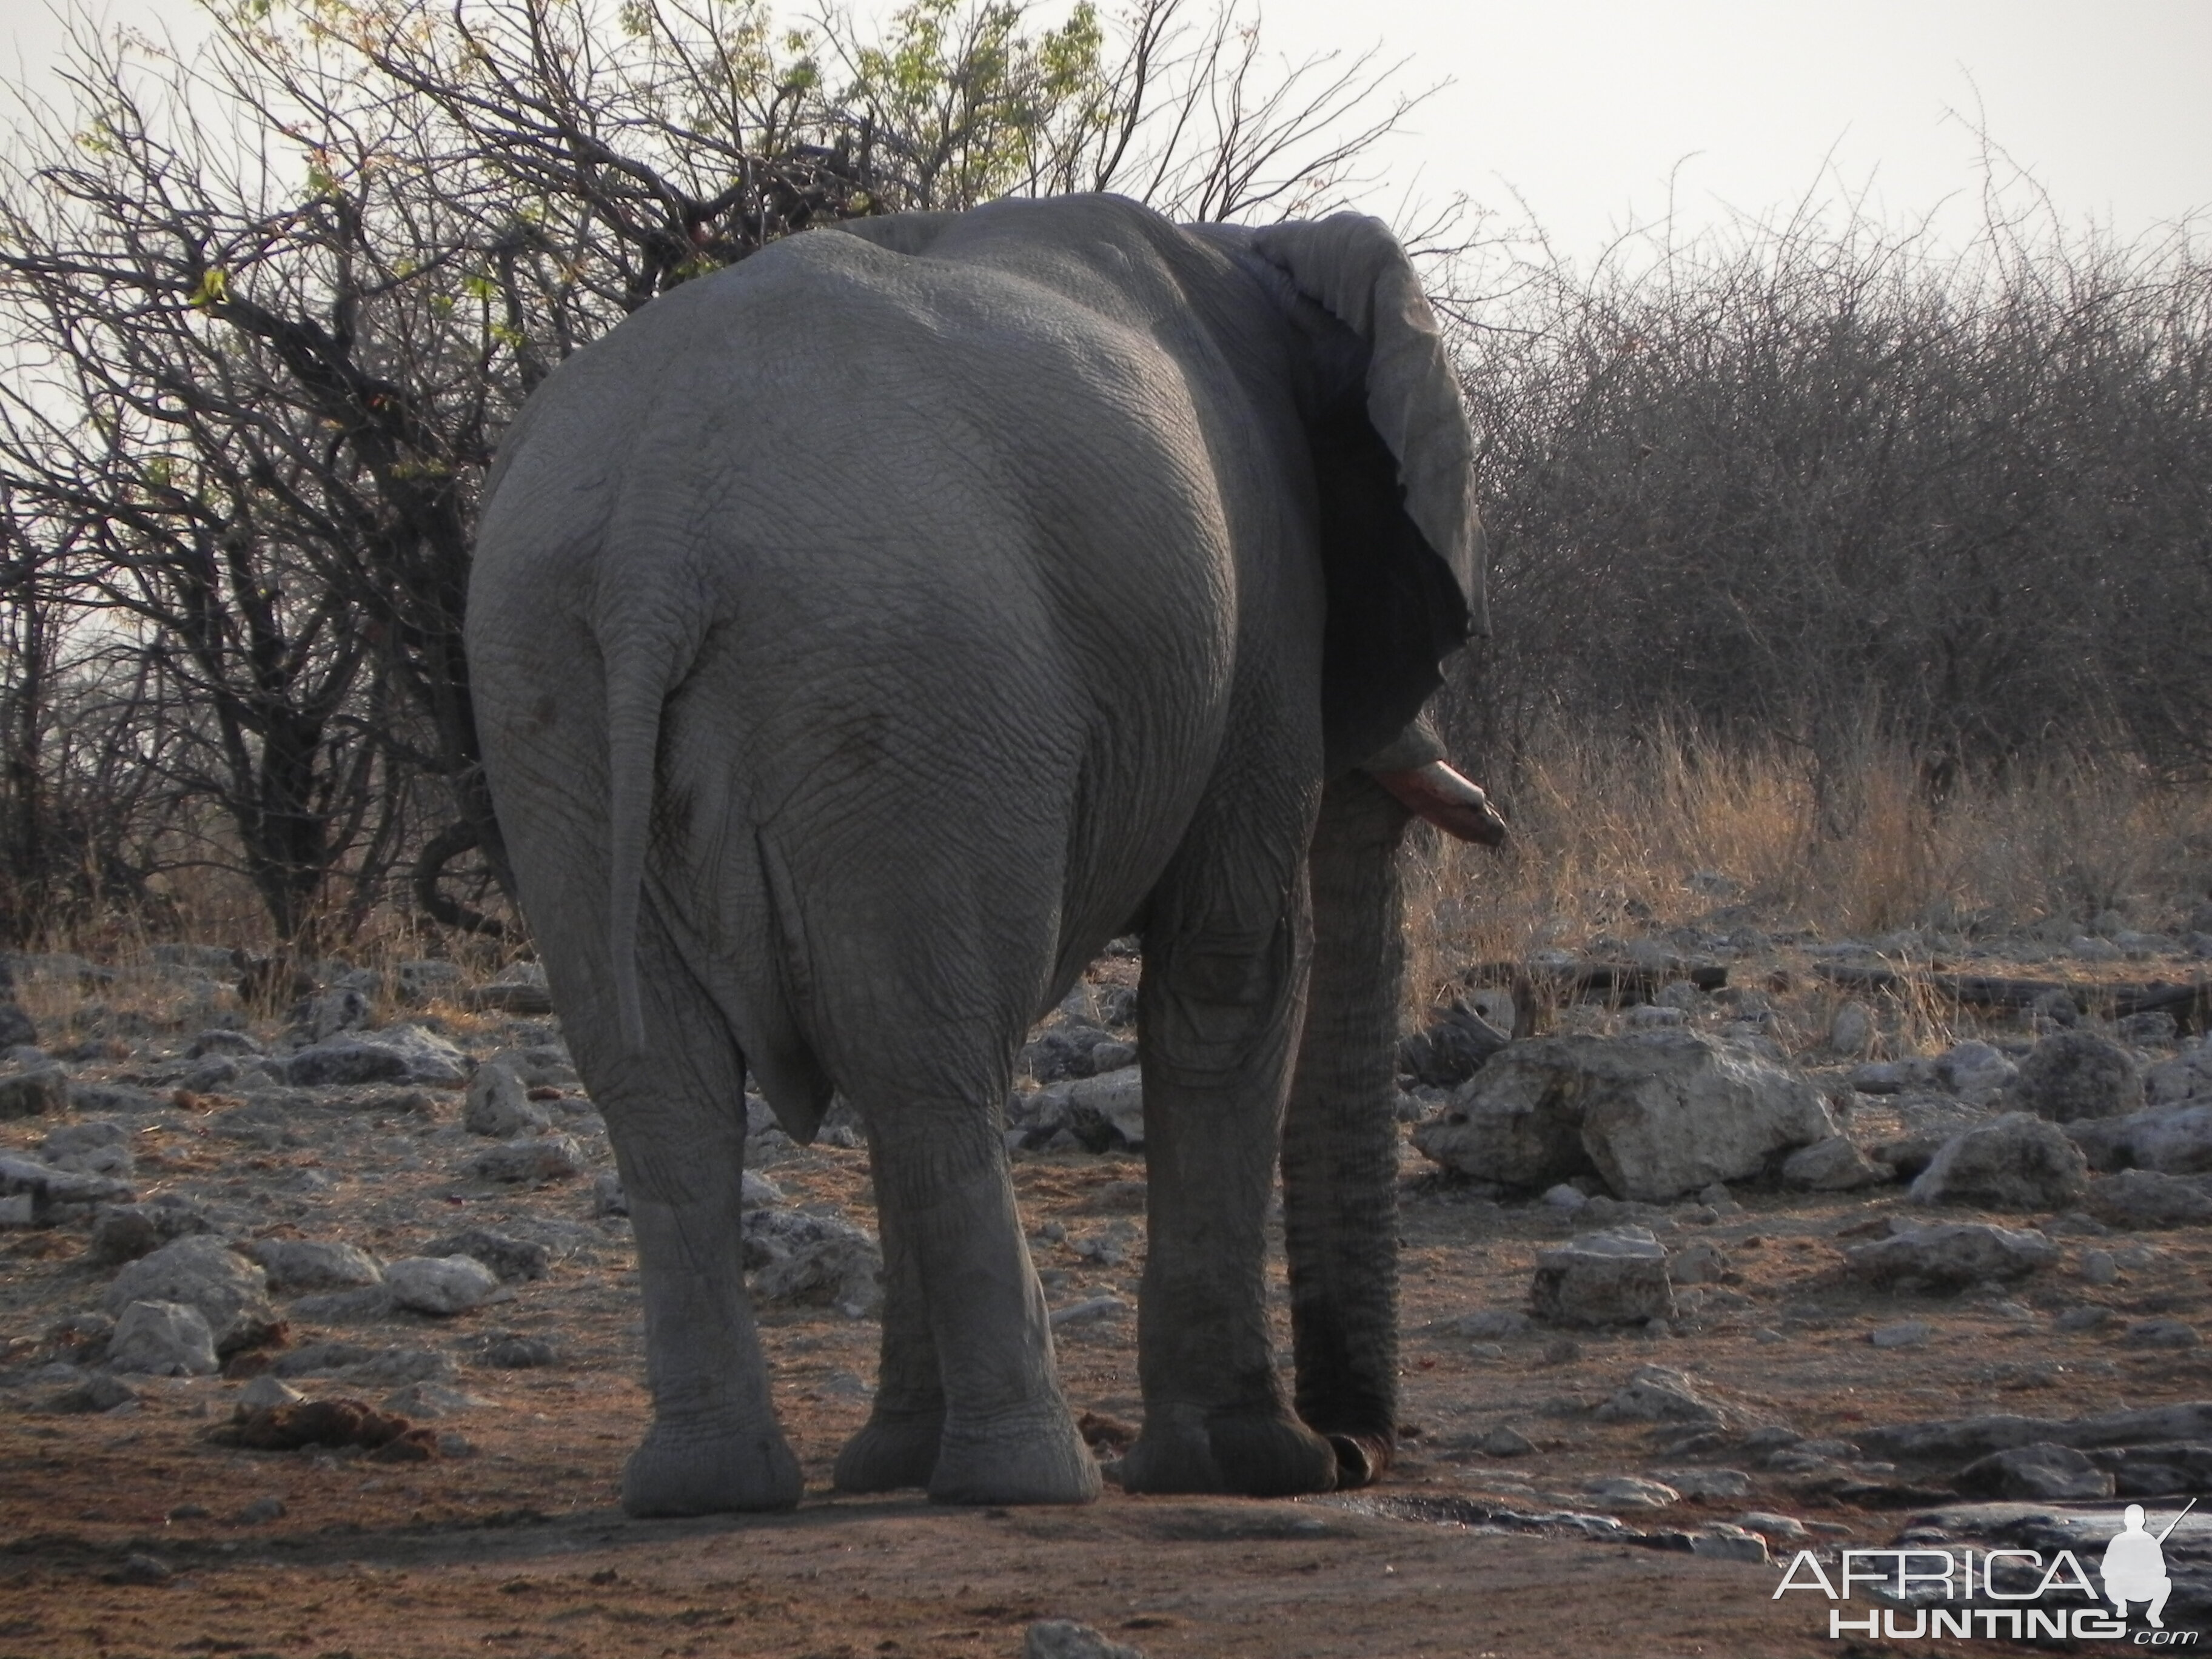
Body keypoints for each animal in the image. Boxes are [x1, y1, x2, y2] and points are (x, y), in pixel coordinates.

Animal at [464, 195, 1504, 1521]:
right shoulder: (1268, 608)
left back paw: (715, 1489)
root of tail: (659, 526)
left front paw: (895, 1463)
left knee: (685, 1091)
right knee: (930, 1072)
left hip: (548, 690)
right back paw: (1032, 1478)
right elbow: (1230, 973)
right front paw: (1249, 1469)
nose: (1357, 1452)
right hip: (904, 672)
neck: (1263, 245)